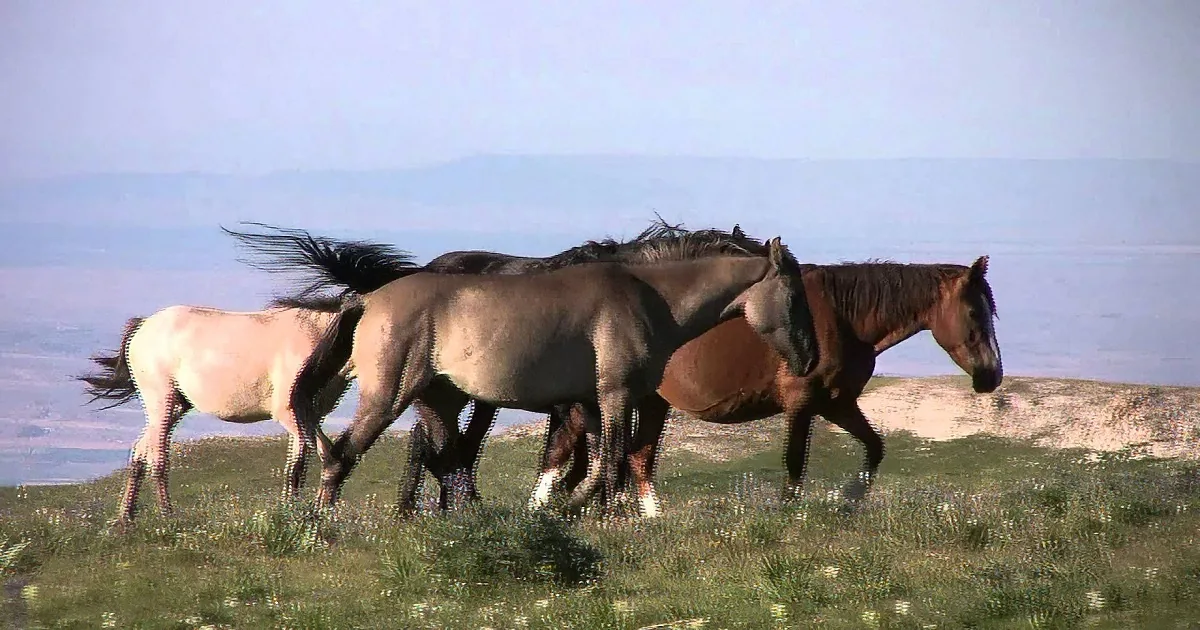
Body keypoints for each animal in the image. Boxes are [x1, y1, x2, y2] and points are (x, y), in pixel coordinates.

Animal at [77, 240, 427, 522]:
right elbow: (304, 461)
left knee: (139, 452)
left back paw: (125, 521)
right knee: (157, 458)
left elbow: (304, 463)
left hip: (175, 405)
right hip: (161, 401)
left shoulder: (310, 415)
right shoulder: (291, 414)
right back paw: (167, 517)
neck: (318, 337)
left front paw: (296, 513)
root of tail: (143, 326)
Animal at [221, 220, 814, 514]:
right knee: (369, 454)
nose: (810, 356)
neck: (648, 294)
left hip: (441, 397)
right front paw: (602, 514)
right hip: (401, 395)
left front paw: (576, 509)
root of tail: (370, 298)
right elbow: (612, 459)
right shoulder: (611, 394)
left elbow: (599, 461)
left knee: (445, 456)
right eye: (794, 295)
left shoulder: (591, 402)